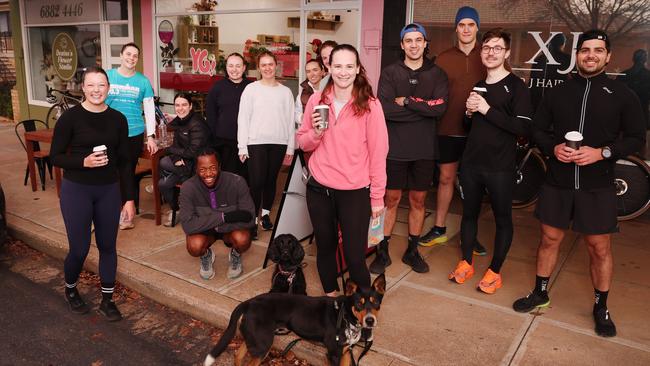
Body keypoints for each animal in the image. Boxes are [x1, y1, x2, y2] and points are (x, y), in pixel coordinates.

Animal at [202, 274, 384, 366]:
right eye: (359, 304)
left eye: (376, 302)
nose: (370, 321)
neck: (344, 313)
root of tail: (249, 302)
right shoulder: (333, 353)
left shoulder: (345, 351)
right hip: (263, 344)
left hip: (255, 339)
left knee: (238, 356)